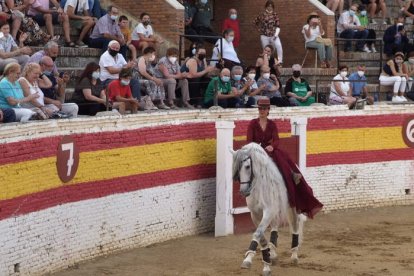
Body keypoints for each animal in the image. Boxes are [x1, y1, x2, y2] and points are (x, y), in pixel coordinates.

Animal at [231, 142, 306, 276]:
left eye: (247, 166)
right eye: (236, 169)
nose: (243, 191)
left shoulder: (268, 211)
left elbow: (258, 233)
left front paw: (253, 262)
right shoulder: (255, 214)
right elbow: (261, 237)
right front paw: (258, 261)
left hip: (292, 207)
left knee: (295, 225)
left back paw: (294, 256)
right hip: (275, 209)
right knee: (275, 226)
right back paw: (273, 253)